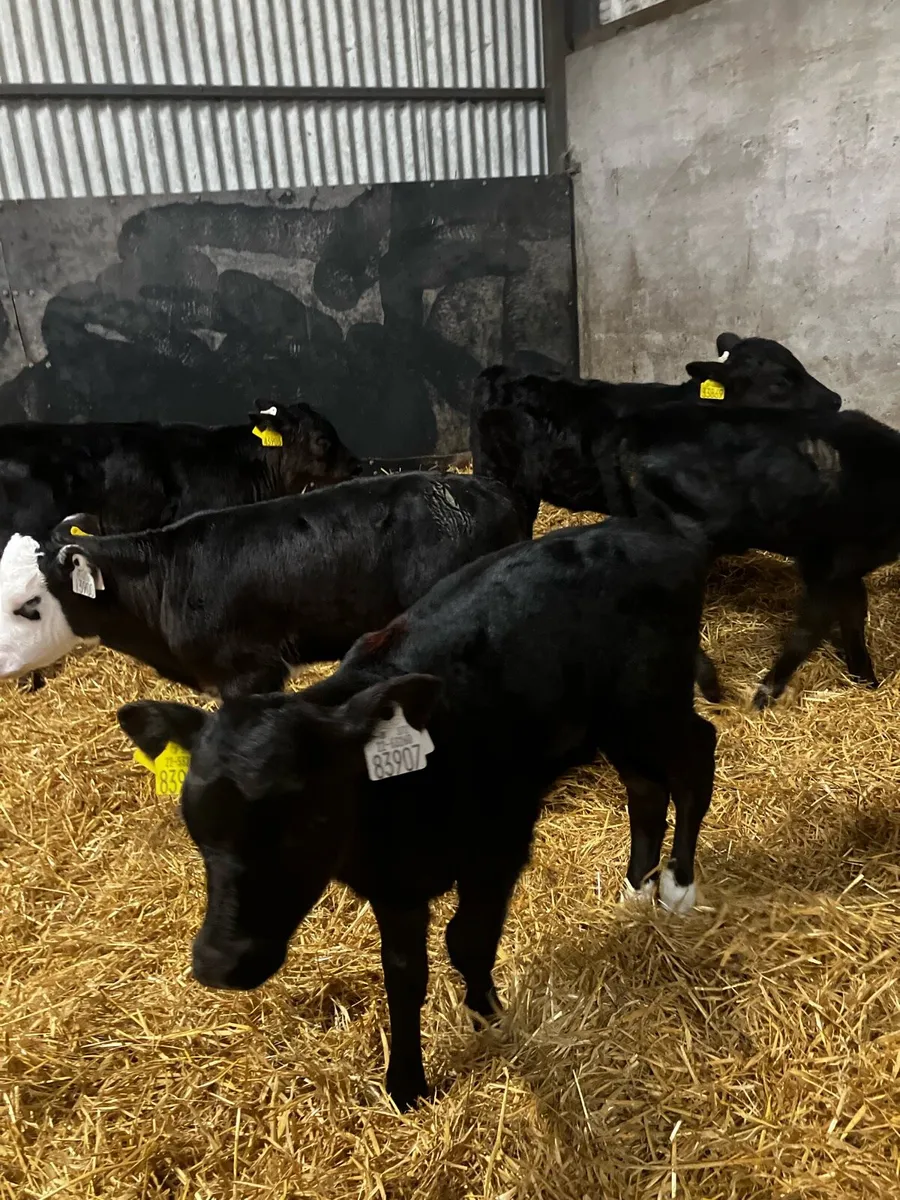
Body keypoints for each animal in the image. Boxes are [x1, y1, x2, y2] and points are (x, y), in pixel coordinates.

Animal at [117, 515, 717, 1110]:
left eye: (306, 820)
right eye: (197, 828)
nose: (220, 961)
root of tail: (657, 535)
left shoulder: (499, 845)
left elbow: (467, 940)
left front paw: (489, 1019)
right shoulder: (395, 887)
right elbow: (403, 974)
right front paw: (406, 1084)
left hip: (653, 701)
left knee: (697, 754)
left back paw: (677, 887)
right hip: (616, 721)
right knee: (645, 786)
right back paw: (637, 887)